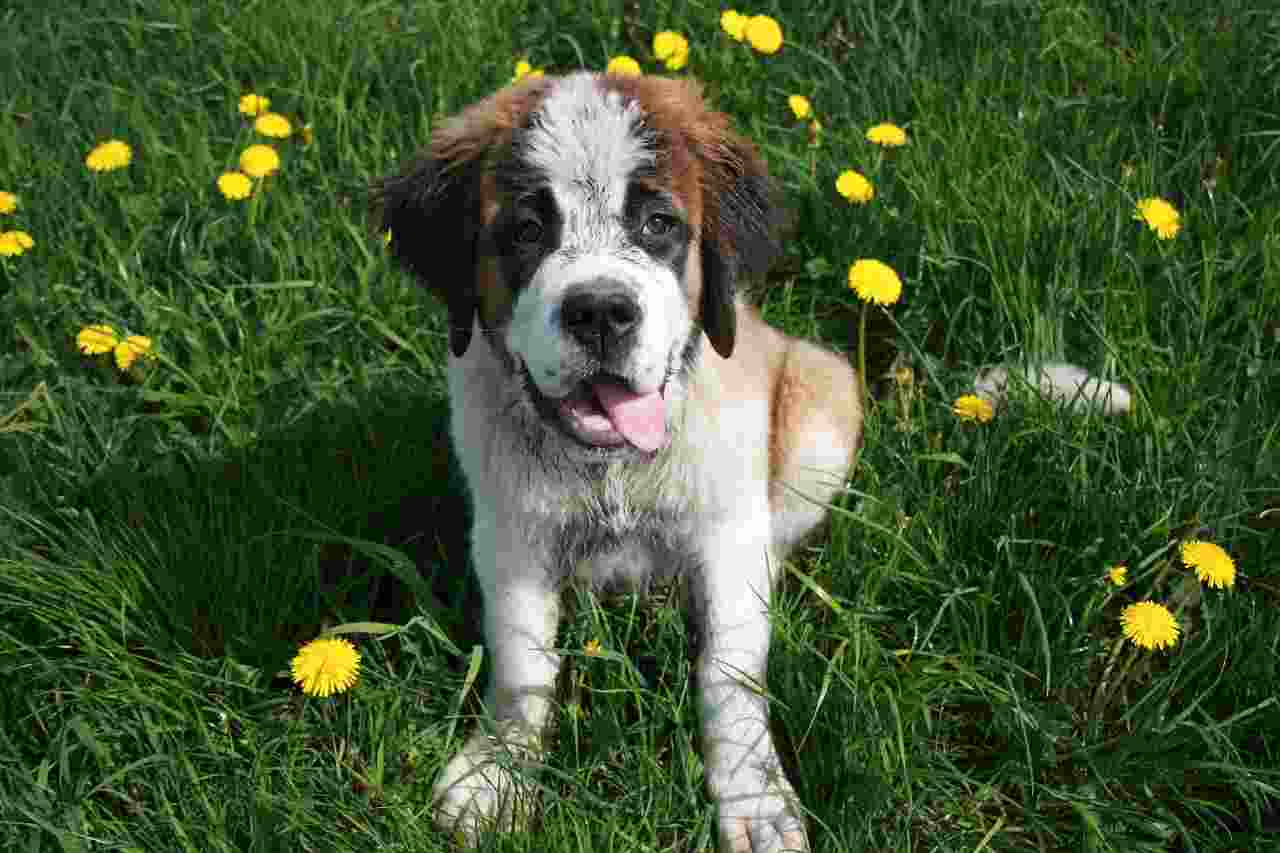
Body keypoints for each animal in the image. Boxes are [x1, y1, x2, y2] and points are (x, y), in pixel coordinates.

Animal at [373, 73, 1131, 850]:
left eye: (658, 225)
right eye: (526, 231)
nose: (601, 312)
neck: (613, 467)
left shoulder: (725, 535)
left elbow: (728, 677)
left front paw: (755, 798)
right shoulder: (512, 536)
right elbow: (524, 662)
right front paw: (499, 770)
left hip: (820, 398)